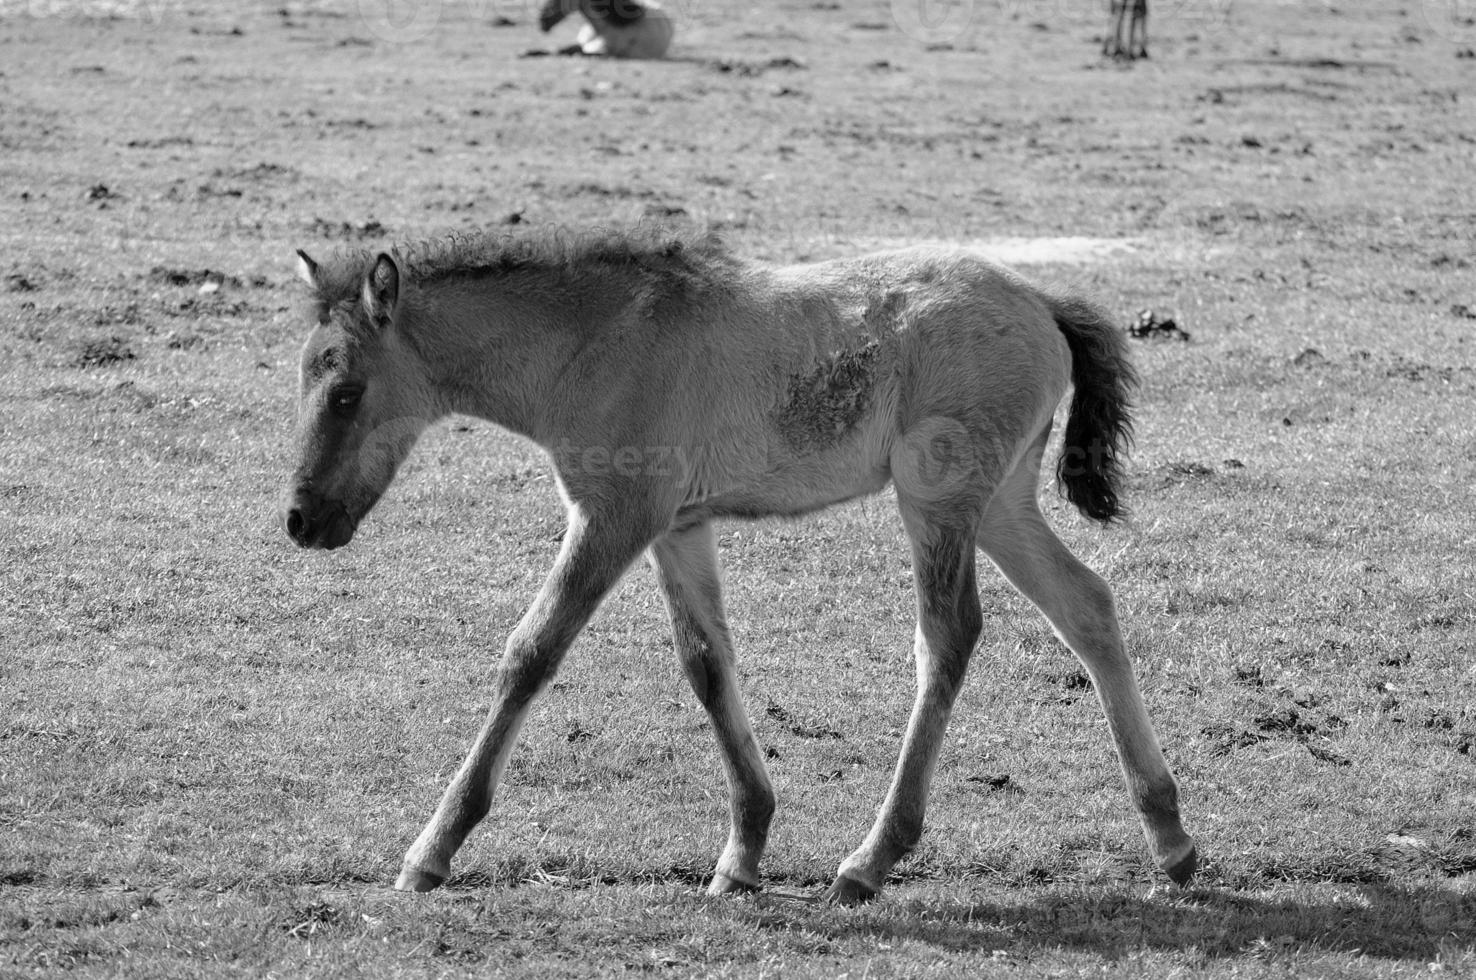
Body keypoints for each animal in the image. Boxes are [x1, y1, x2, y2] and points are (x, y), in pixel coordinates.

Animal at [281, 225, 1192, 897]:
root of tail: (1040, 299)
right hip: (1002, 506)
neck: (594, 341)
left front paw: (431, 850)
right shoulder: (676, 528)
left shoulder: (613, 518)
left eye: (347, 391)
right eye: (302, 379)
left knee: (949, 639)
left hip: (937, 500)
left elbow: (531, 652)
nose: (300, 520)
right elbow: (706, 664)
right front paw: (743, 852)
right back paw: (1171, 837)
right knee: (1087, 606)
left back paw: (869, 861)